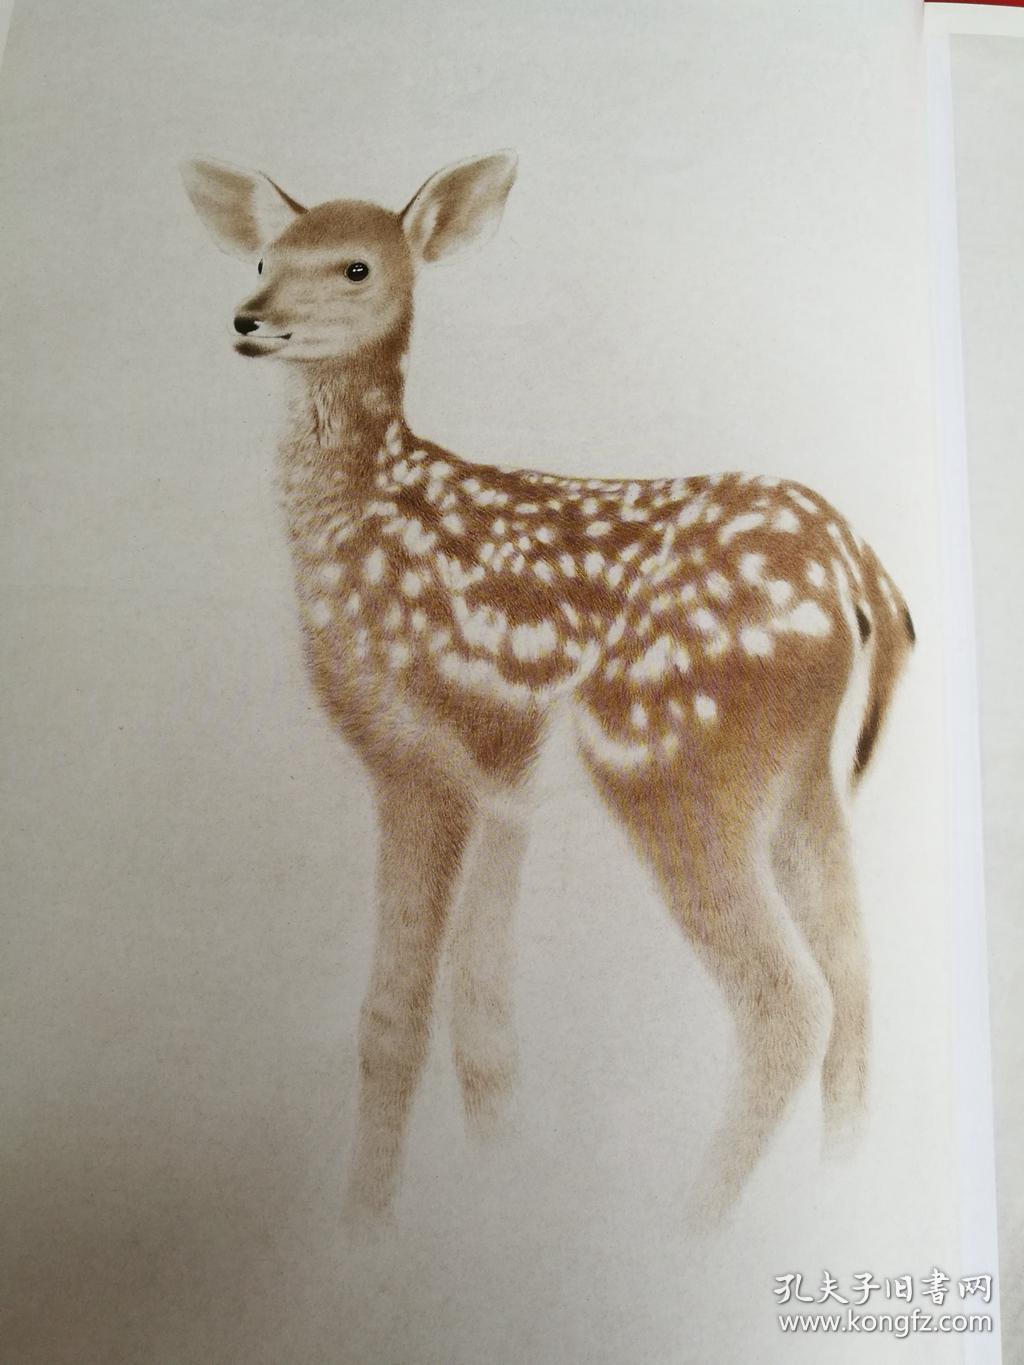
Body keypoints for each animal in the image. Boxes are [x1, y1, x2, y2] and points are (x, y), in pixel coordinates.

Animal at [181, 150, 915, 1226]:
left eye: (357, 266)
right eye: (266, 256)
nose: (249, 319)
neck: (358, 518)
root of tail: (860, 578)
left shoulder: (416, 758)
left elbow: (394, 1015)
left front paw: (365, 1223)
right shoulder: (504, 788)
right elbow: (484, 1022)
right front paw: (500, 1183)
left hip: (670, 759)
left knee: (787, 999)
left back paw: (689, 1228)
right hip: (801, 780)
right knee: (857, 973)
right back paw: (836, 1178)